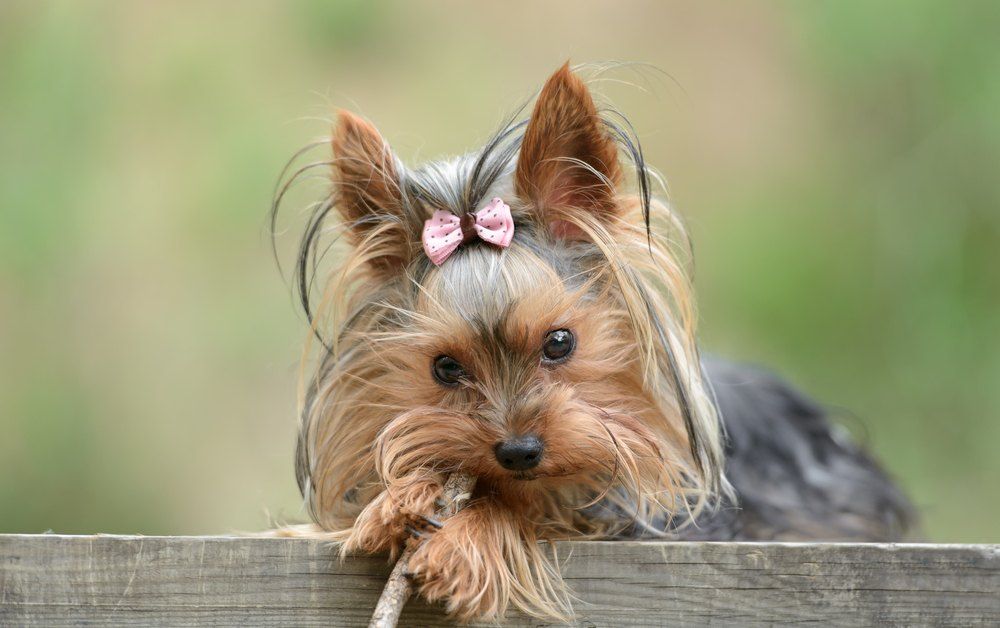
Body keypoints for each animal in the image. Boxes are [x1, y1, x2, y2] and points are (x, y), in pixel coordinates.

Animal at [276, 61, 916, 620]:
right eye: (444, 368)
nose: (518, 452)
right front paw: (400, 499)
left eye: (560, 342)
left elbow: (542, 514)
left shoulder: (650, 514)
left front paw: (469, 537)